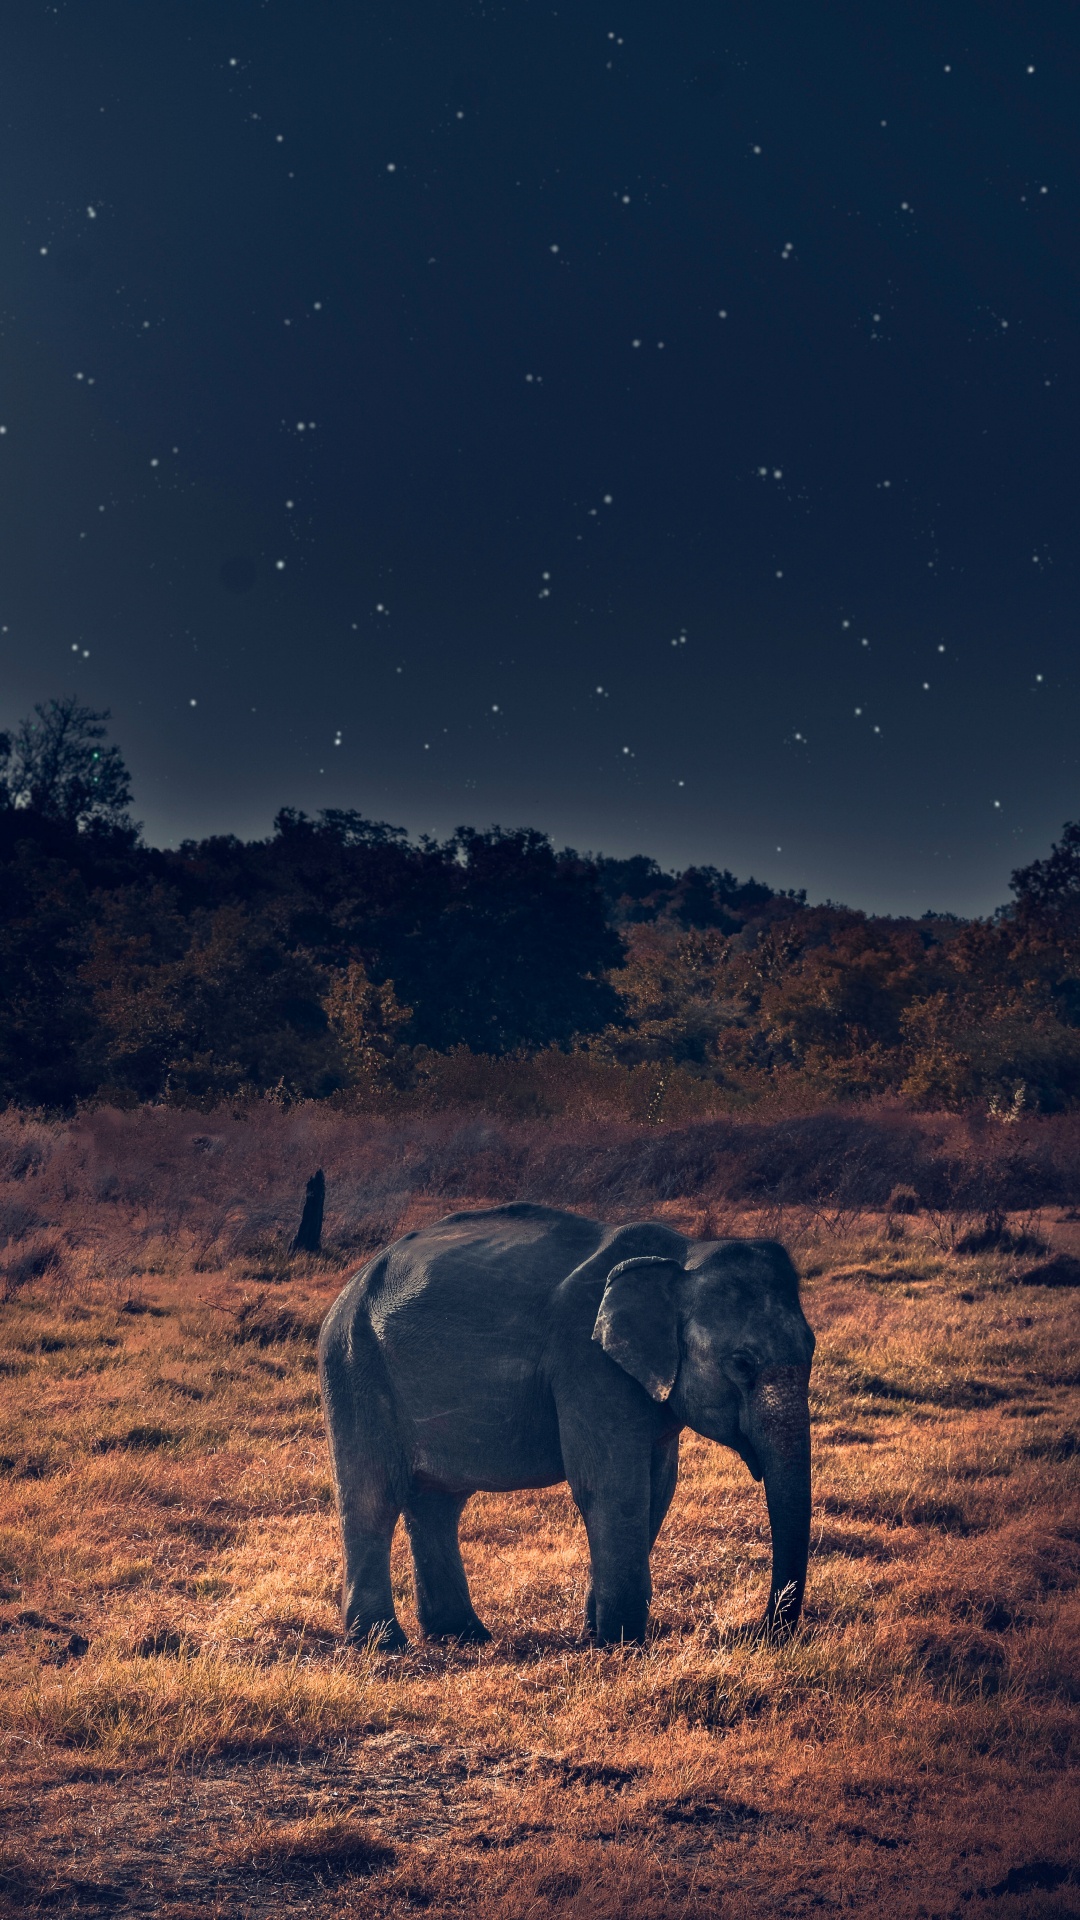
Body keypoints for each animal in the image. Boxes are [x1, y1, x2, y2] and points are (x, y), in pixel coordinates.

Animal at [318, 1202, 814, 1649]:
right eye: (742, 1363)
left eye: (811, 1349)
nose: (758, 1632)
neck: (683, 1255)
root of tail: (350, 1288)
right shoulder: (586, 1363)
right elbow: (612, 1485)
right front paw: (620, 1645)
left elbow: (658, 1488)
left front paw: (597, 1635)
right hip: (354, 1366)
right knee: (373, 1496)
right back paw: (383, 1644)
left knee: (437, 1502)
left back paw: (461, 1636)